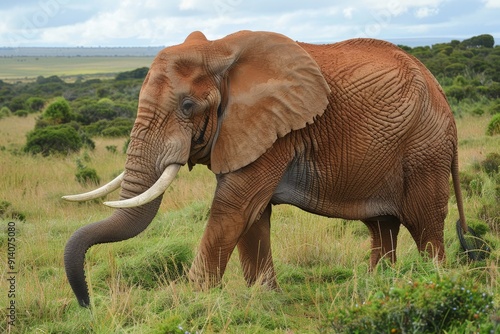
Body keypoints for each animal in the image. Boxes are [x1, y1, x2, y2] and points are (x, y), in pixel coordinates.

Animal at [63, 30, 468, 306]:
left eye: (188, 106)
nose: (87, 303)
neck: (220, 49)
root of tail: (442, 93)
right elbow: (253, 214)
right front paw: (265, 297)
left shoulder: (277, 131)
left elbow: (233, 207)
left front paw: (194, 300)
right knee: (381, 227)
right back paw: (377, 288)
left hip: (425, 148)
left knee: (425, 224)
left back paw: (432, 284)